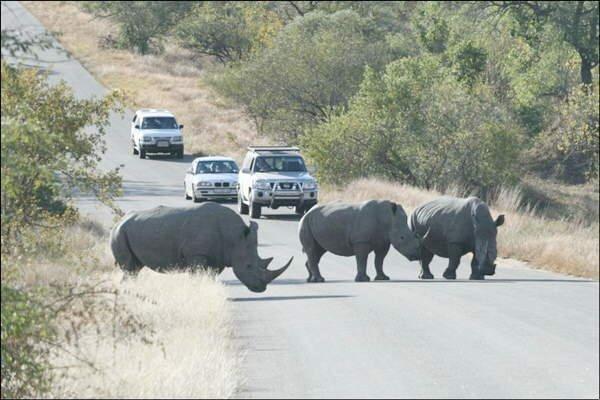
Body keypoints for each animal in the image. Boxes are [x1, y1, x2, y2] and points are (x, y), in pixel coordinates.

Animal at [110, 203, 292, 292]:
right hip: (119, 233)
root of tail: (118, 222)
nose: (261, 289)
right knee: (130, 269)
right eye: (248, 266)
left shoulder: (218, 257)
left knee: (135, 268)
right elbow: (196, 276)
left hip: (128, 231)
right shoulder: (197, 255)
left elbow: (210, 276)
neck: (234, 238)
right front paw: (195, 290)